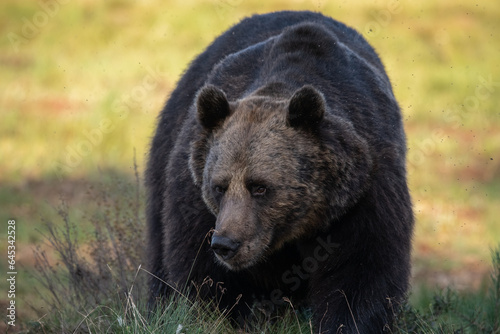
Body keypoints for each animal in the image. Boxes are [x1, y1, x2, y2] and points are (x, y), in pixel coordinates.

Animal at [146, 11, 414, 334]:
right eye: (218, 186)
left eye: (260, 186)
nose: (226, 244)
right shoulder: (195, 196)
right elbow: (201, 270)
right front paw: (213, 315)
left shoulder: (366, 188)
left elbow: (362, 267)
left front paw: (345, 322)